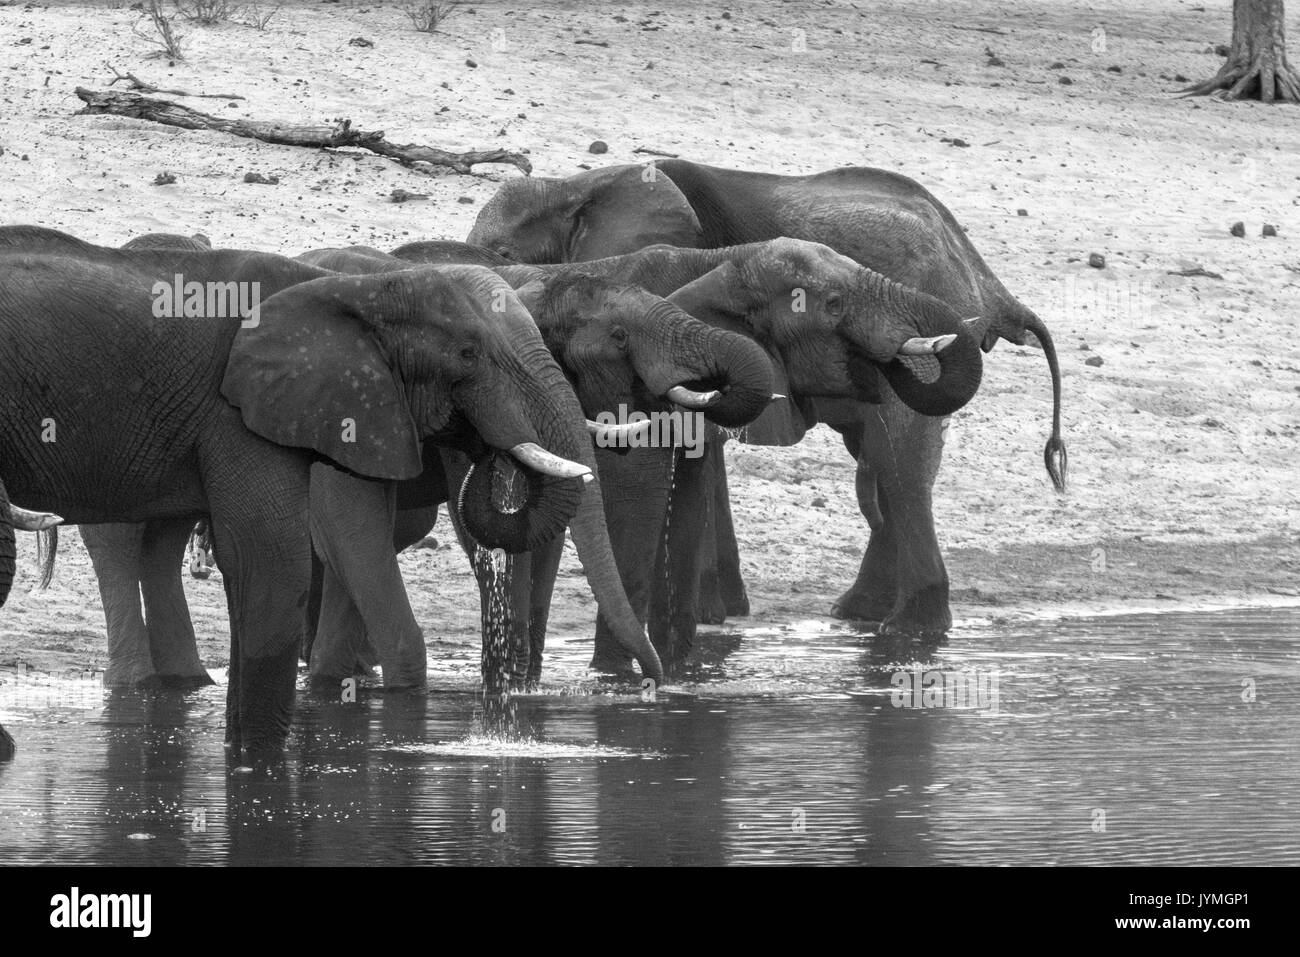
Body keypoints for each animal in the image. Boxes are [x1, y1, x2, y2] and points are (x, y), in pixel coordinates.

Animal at [0, 226, 618, 754]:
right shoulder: (245, 409)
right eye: (467, 355)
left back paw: (182, 685)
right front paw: (257, 764)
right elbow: (273, 553)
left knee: (159, 540)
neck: (360, 288)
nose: (485, 452)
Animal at [467, 160, 1066, 639]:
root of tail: (978, 267)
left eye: (503, 251)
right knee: (882, 463)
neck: (577, 184)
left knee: (897, 462)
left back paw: (907, 631)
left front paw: (707, 617)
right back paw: (864, 615)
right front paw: (716, 614)